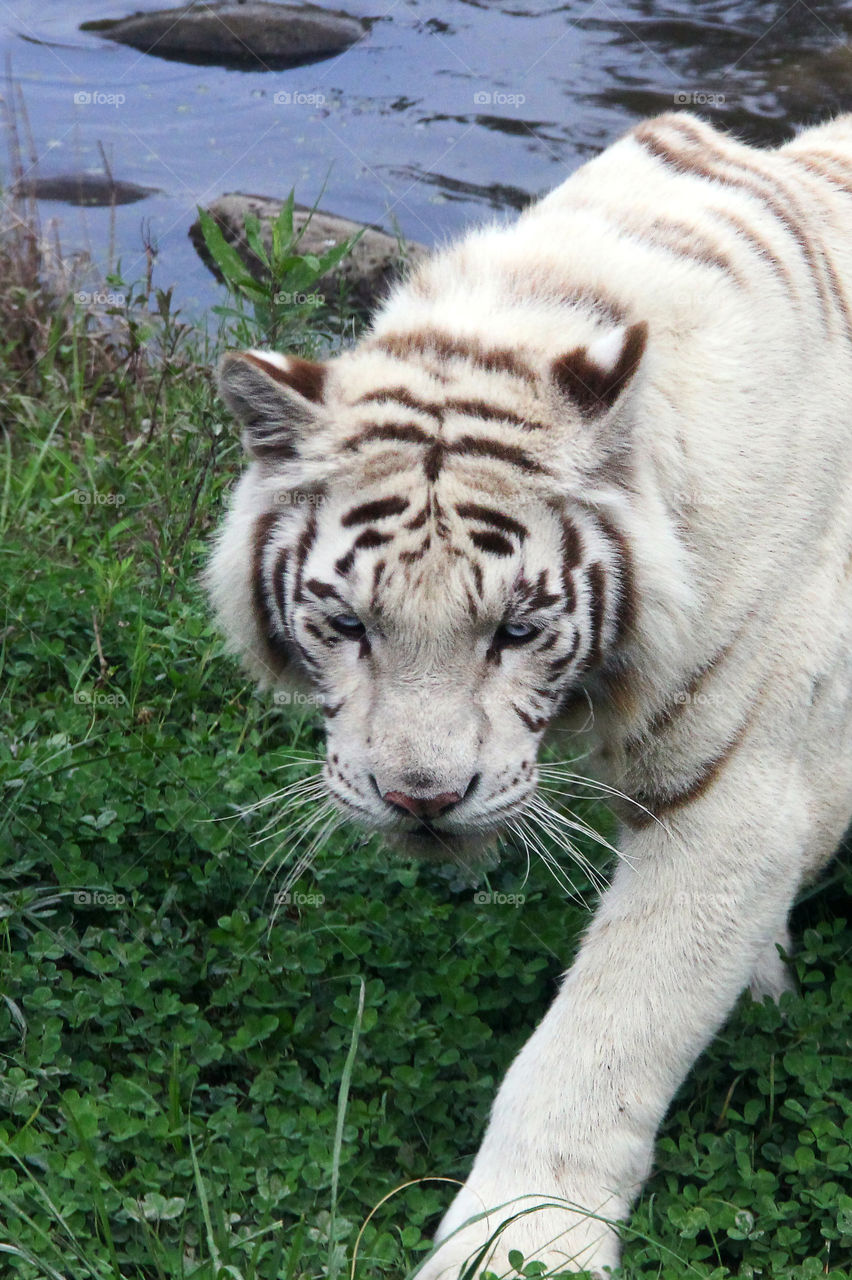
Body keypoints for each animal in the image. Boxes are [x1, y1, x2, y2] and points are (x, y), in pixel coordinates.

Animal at [205, 115, 849, 1274]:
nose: (420, 797)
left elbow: (603, 1038)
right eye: (350, 624)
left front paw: (519, 1245)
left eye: (515, 629)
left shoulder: (736, 792)